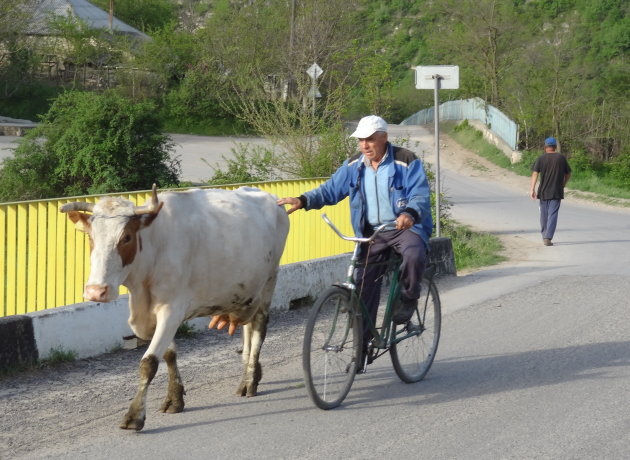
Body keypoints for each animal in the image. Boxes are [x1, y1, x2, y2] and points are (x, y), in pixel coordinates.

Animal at [58, 184, 290, 432]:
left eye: (126, 237)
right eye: (91, 237)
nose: (95, 291)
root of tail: (267, 195)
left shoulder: (172, 309)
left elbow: (149, 362)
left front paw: (134, 415)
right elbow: (169, 355)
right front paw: (175, 399)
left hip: (269, 282)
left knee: (259, 329)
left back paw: (249, 381)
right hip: (248, 292)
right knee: (247, 328)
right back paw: (249, 376)